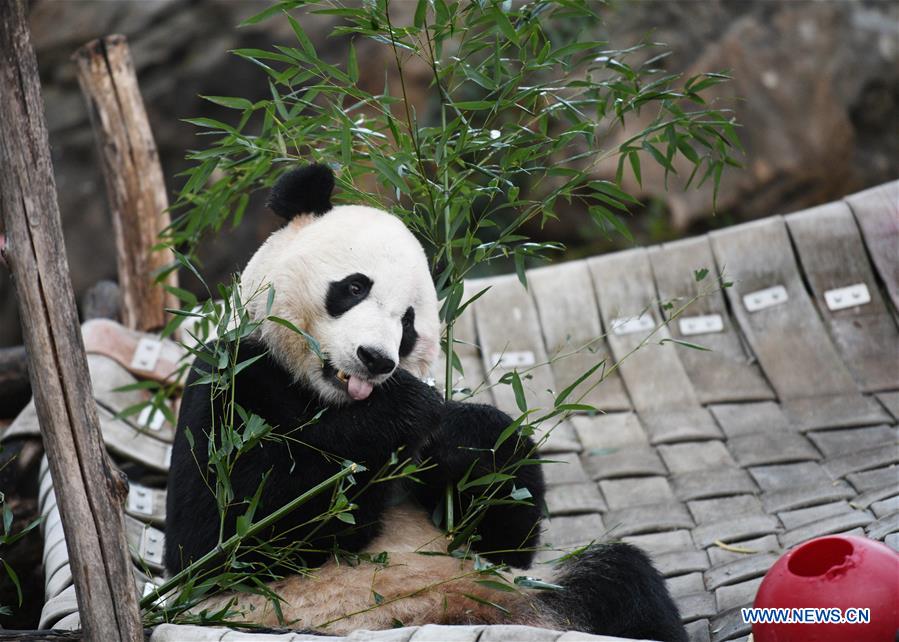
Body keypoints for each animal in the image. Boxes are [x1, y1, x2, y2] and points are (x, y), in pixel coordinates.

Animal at [165, 165, 684, 640]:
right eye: (354, 287)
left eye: (409, 323)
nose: (376, 359)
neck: (326, 400)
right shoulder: (231, 381)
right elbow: (225, 537)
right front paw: (397, 414)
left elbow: (505, 535)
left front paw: (462, 437)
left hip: (523, 589)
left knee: (619, 582)